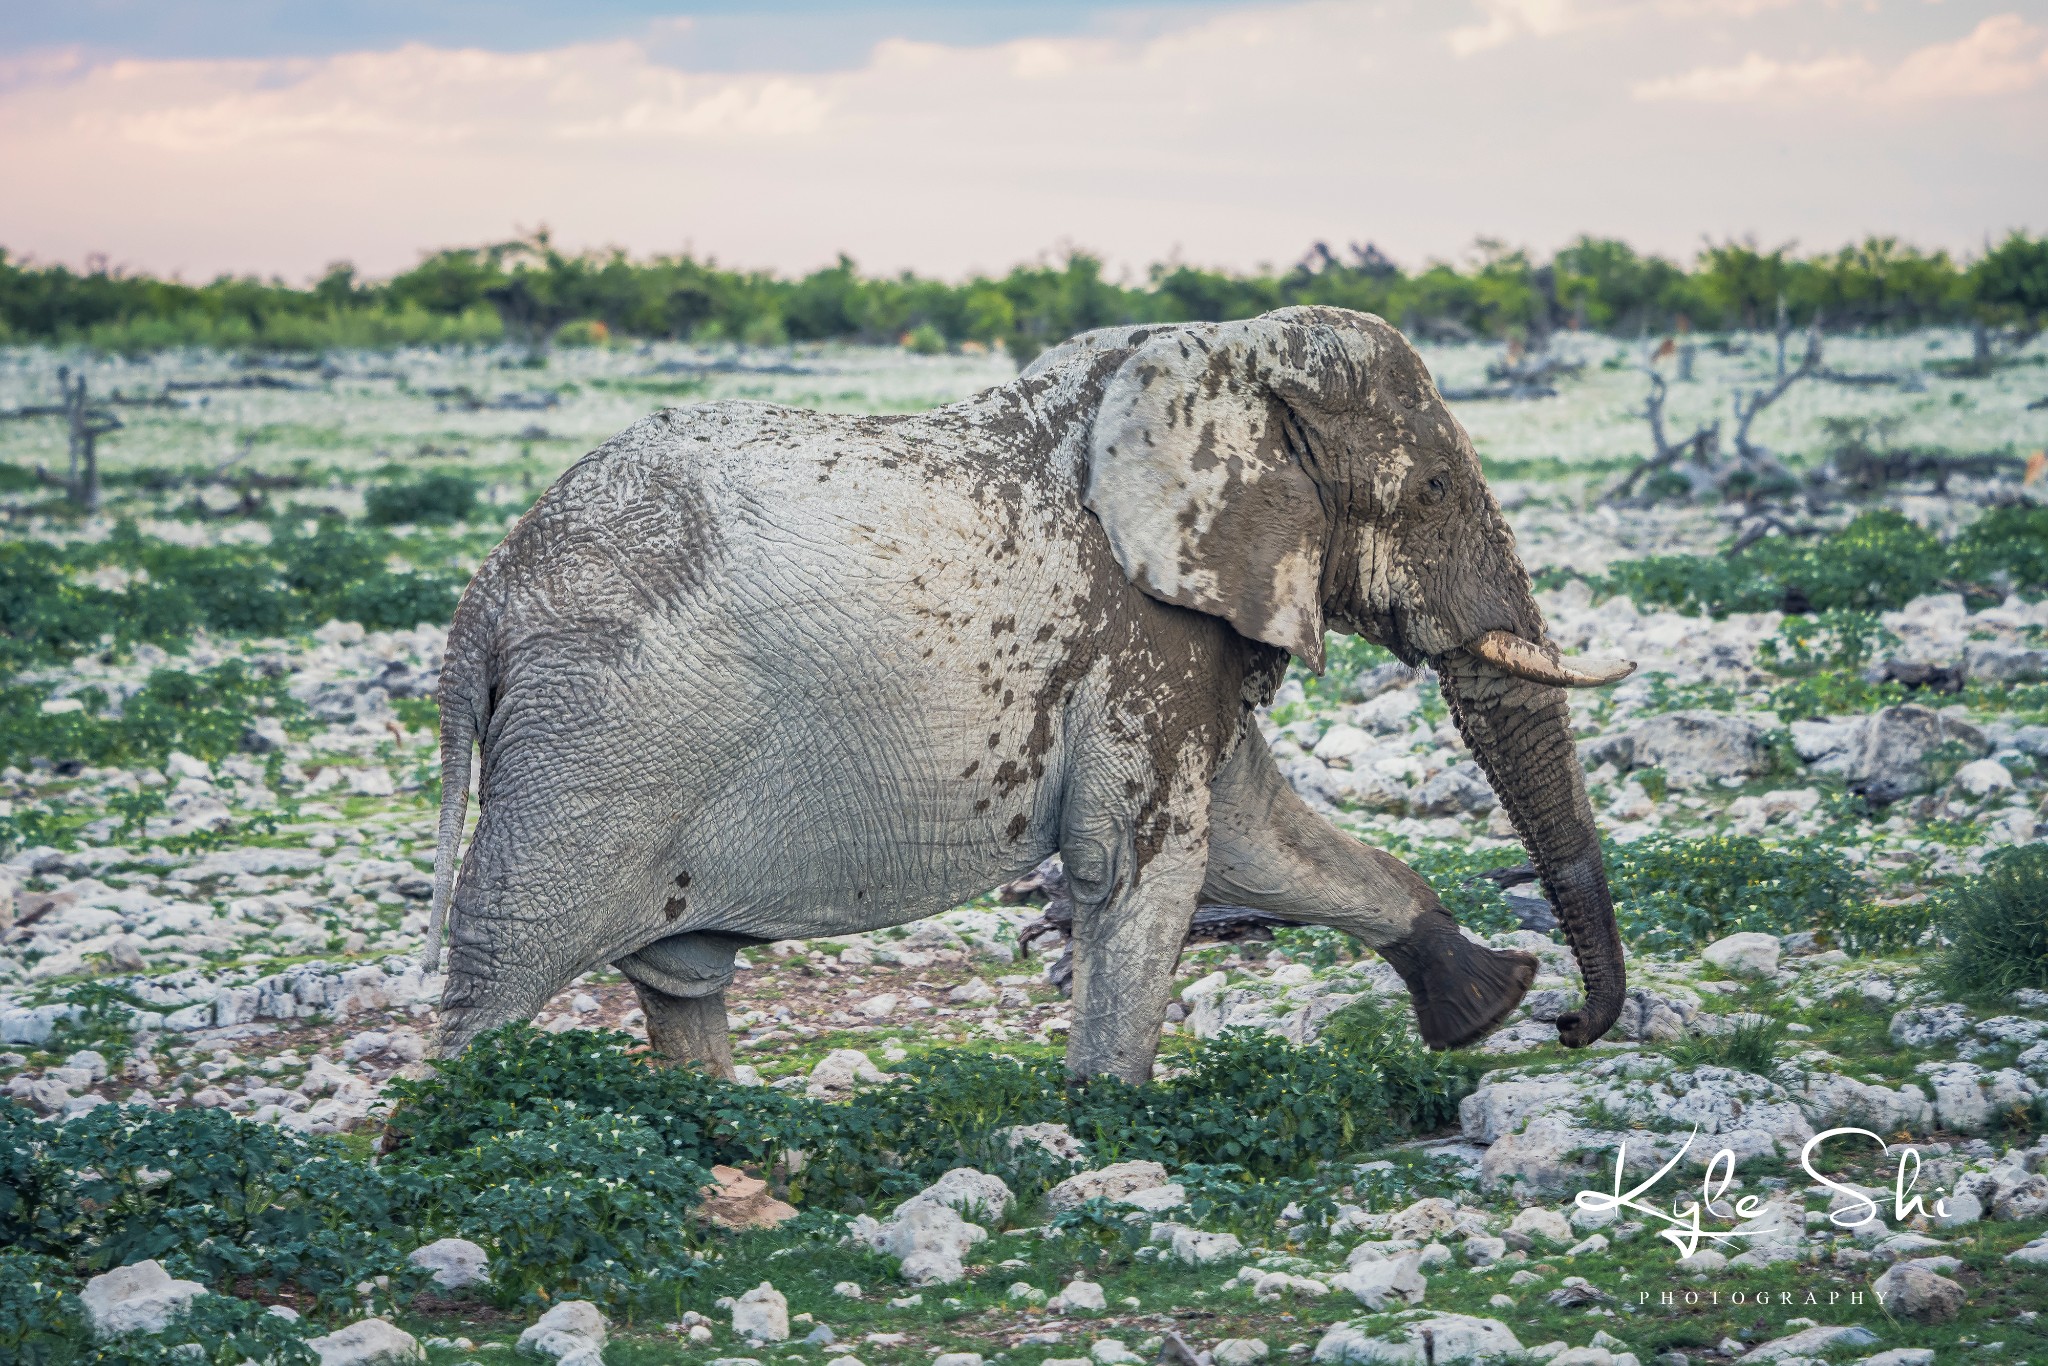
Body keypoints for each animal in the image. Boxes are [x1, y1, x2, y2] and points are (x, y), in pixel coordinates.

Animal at [428, 305, 1630, 1081]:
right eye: (1430, 488)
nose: (1570, 1024)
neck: (1224, 348)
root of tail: (482, 603)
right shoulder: (1139, 623)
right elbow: (1140, 860)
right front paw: (1104, 1130)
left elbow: (1253, 835)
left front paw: (1482, 1007)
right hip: (593, 741)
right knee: (499, 974)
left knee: (677, 982)